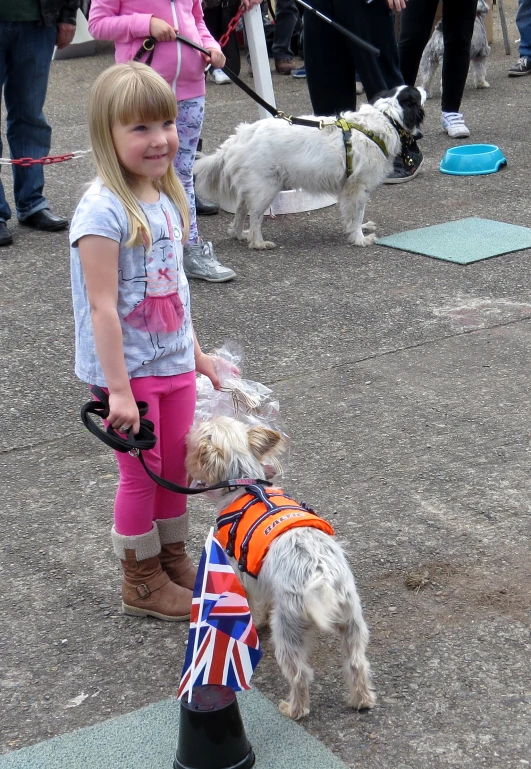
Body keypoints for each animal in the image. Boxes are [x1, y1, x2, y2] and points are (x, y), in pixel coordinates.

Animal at [185, 414, 376, 720]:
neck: (244, 483)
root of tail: (321, 575)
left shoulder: (241, 572)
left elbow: (250, 603)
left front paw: (252, 624)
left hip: (288, 627)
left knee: (299, 674)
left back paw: (293, 709)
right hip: (352, 619)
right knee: (357, 662)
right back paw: (362, 700)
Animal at [193, 86, 426, 249]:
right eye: (416, 93)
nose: (424, 88)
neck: (387, 118)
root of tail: (238, 137)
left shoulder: (350, 188)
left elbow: (352, 215)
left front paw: (357, 230)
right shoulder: (358, 187)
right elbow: (357, 214)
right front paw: (360, 238)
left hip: (253, 186)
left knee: (242, 210)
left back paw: (240, 233)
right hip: (266, 188)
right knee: (255, 216)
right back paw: (257, 242)